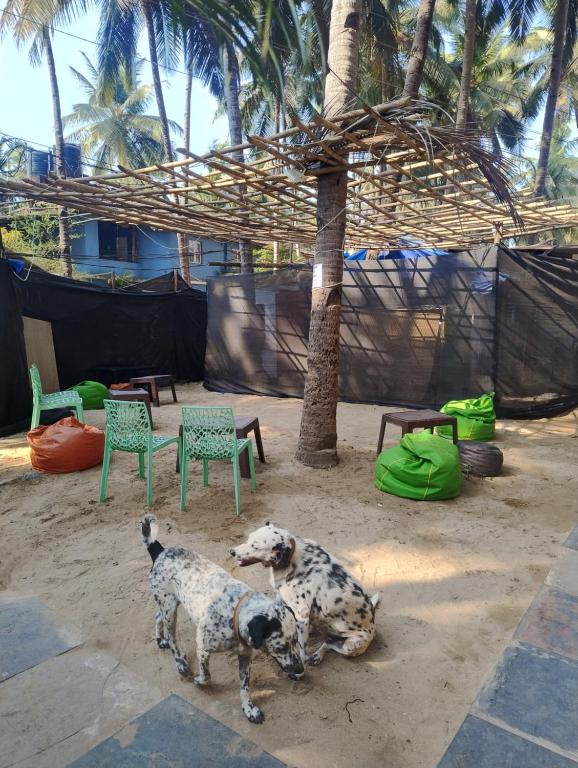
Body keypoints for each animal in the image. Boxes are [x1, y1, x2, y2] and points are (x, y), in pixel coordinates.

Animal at [141, 512, 302, 724]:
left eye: (296, 641)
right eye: (281, 647)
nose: (301, 670)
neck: (234, 615)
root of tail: (160, 550)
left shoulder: (245, 656)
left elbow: (245, 687)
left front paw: (249, 709)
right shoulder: (202, 647)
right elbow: (207, 675)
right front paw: (199, 680)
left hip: (169, 604)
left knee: (157, 615)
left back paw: (160, 639)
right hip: (169, 609)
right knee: (173, 637)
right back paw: (181, 662)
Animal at [230, 520, 378, 664]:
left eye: (255, 546)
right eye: (248, 539)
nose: (231, 551)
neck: (292, 559)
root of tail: (373, 629)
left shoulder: (301, 613)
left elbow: (301, 647)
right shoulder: (283, 601)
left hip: (349, 646)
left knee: (329, 644)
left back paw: (317, 655)